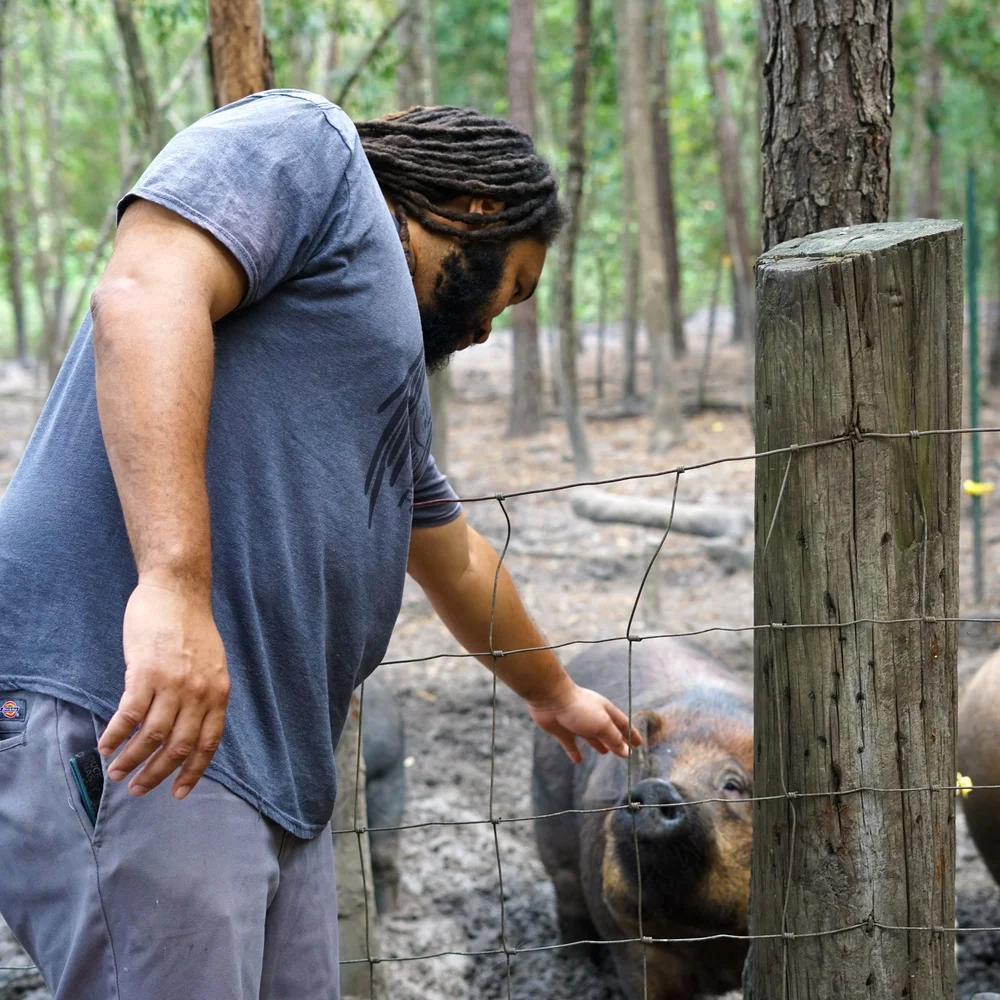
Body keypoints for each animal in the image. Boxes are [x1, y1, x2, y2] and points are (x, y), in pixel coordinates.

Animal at [532, 637, 752, 1000]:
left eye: (732, 784)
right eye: (651, 769)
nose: (656, 787)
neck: (701, 931)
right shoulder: (629, 940)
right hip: (550, 828)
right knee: (567, 896)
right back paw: (575, 966)